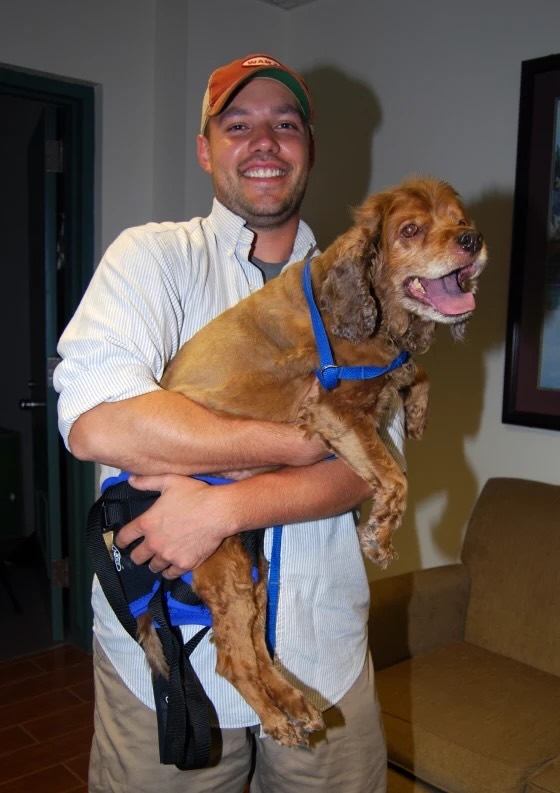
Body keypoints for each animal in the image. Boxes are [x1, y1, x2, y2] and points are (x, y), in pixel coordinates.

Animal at [137, 176, 486, 744]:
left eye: (461, 220)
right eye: (410, 230)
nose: (472, 241)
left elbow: (414, 373)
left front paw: (415, 416)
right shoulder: (331, 410)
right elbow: (395, 476)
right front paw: (378, 537)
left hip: (250, 569)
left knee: (255, 650)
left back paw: (297, 704)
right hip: (221, 564)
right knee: (234, 660)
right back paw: (279, 721)